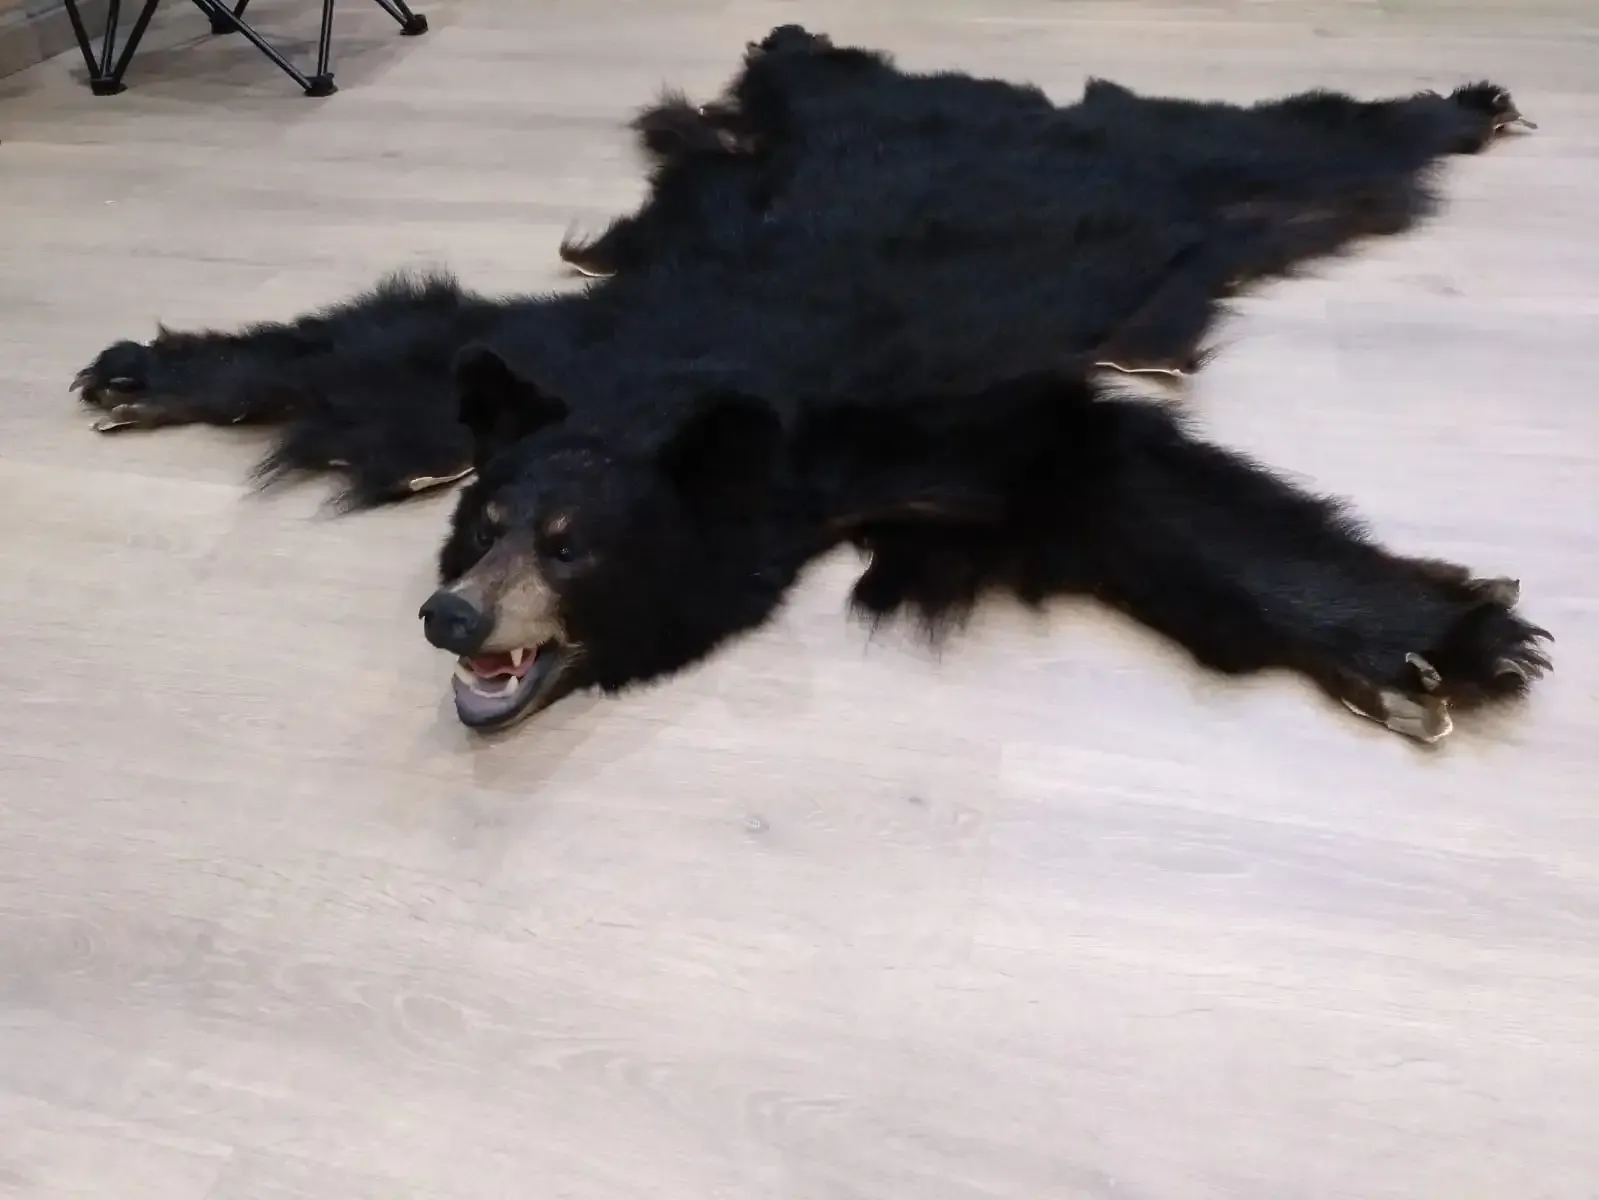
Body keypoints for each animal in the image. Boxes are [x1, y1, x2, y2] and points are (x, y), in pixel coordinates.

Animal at [70, 25, 1552, 743]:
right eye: (479, 525)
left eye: (575, 546)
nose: (451, 616)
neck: (677, 395)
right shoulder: (575, 351)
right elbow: (406, 349)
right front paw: (145, 369)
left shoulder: (882, 429)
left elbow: (1104, 471)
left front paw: (1442, 642)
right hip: (828, 126)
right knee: (812, 67)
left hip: (1181, 167)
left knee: (1307, 142)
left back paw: (1467, 103)